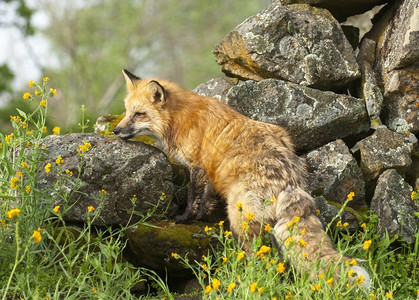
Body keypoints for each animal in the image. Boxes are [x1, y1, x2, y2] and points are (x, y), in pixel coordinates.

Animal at [114, 69, 370, 288]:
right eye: (127, 112)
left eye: (139, 114)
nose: (116, 131)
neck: (181, 119)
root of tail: (290, 180)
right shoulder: (212, 172)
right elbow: (207, 198)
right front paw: (202, 216)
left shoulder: (197, 166)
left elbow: (192, 197)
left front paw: (184, 219)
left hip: (238, 218)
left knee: (258, 259)